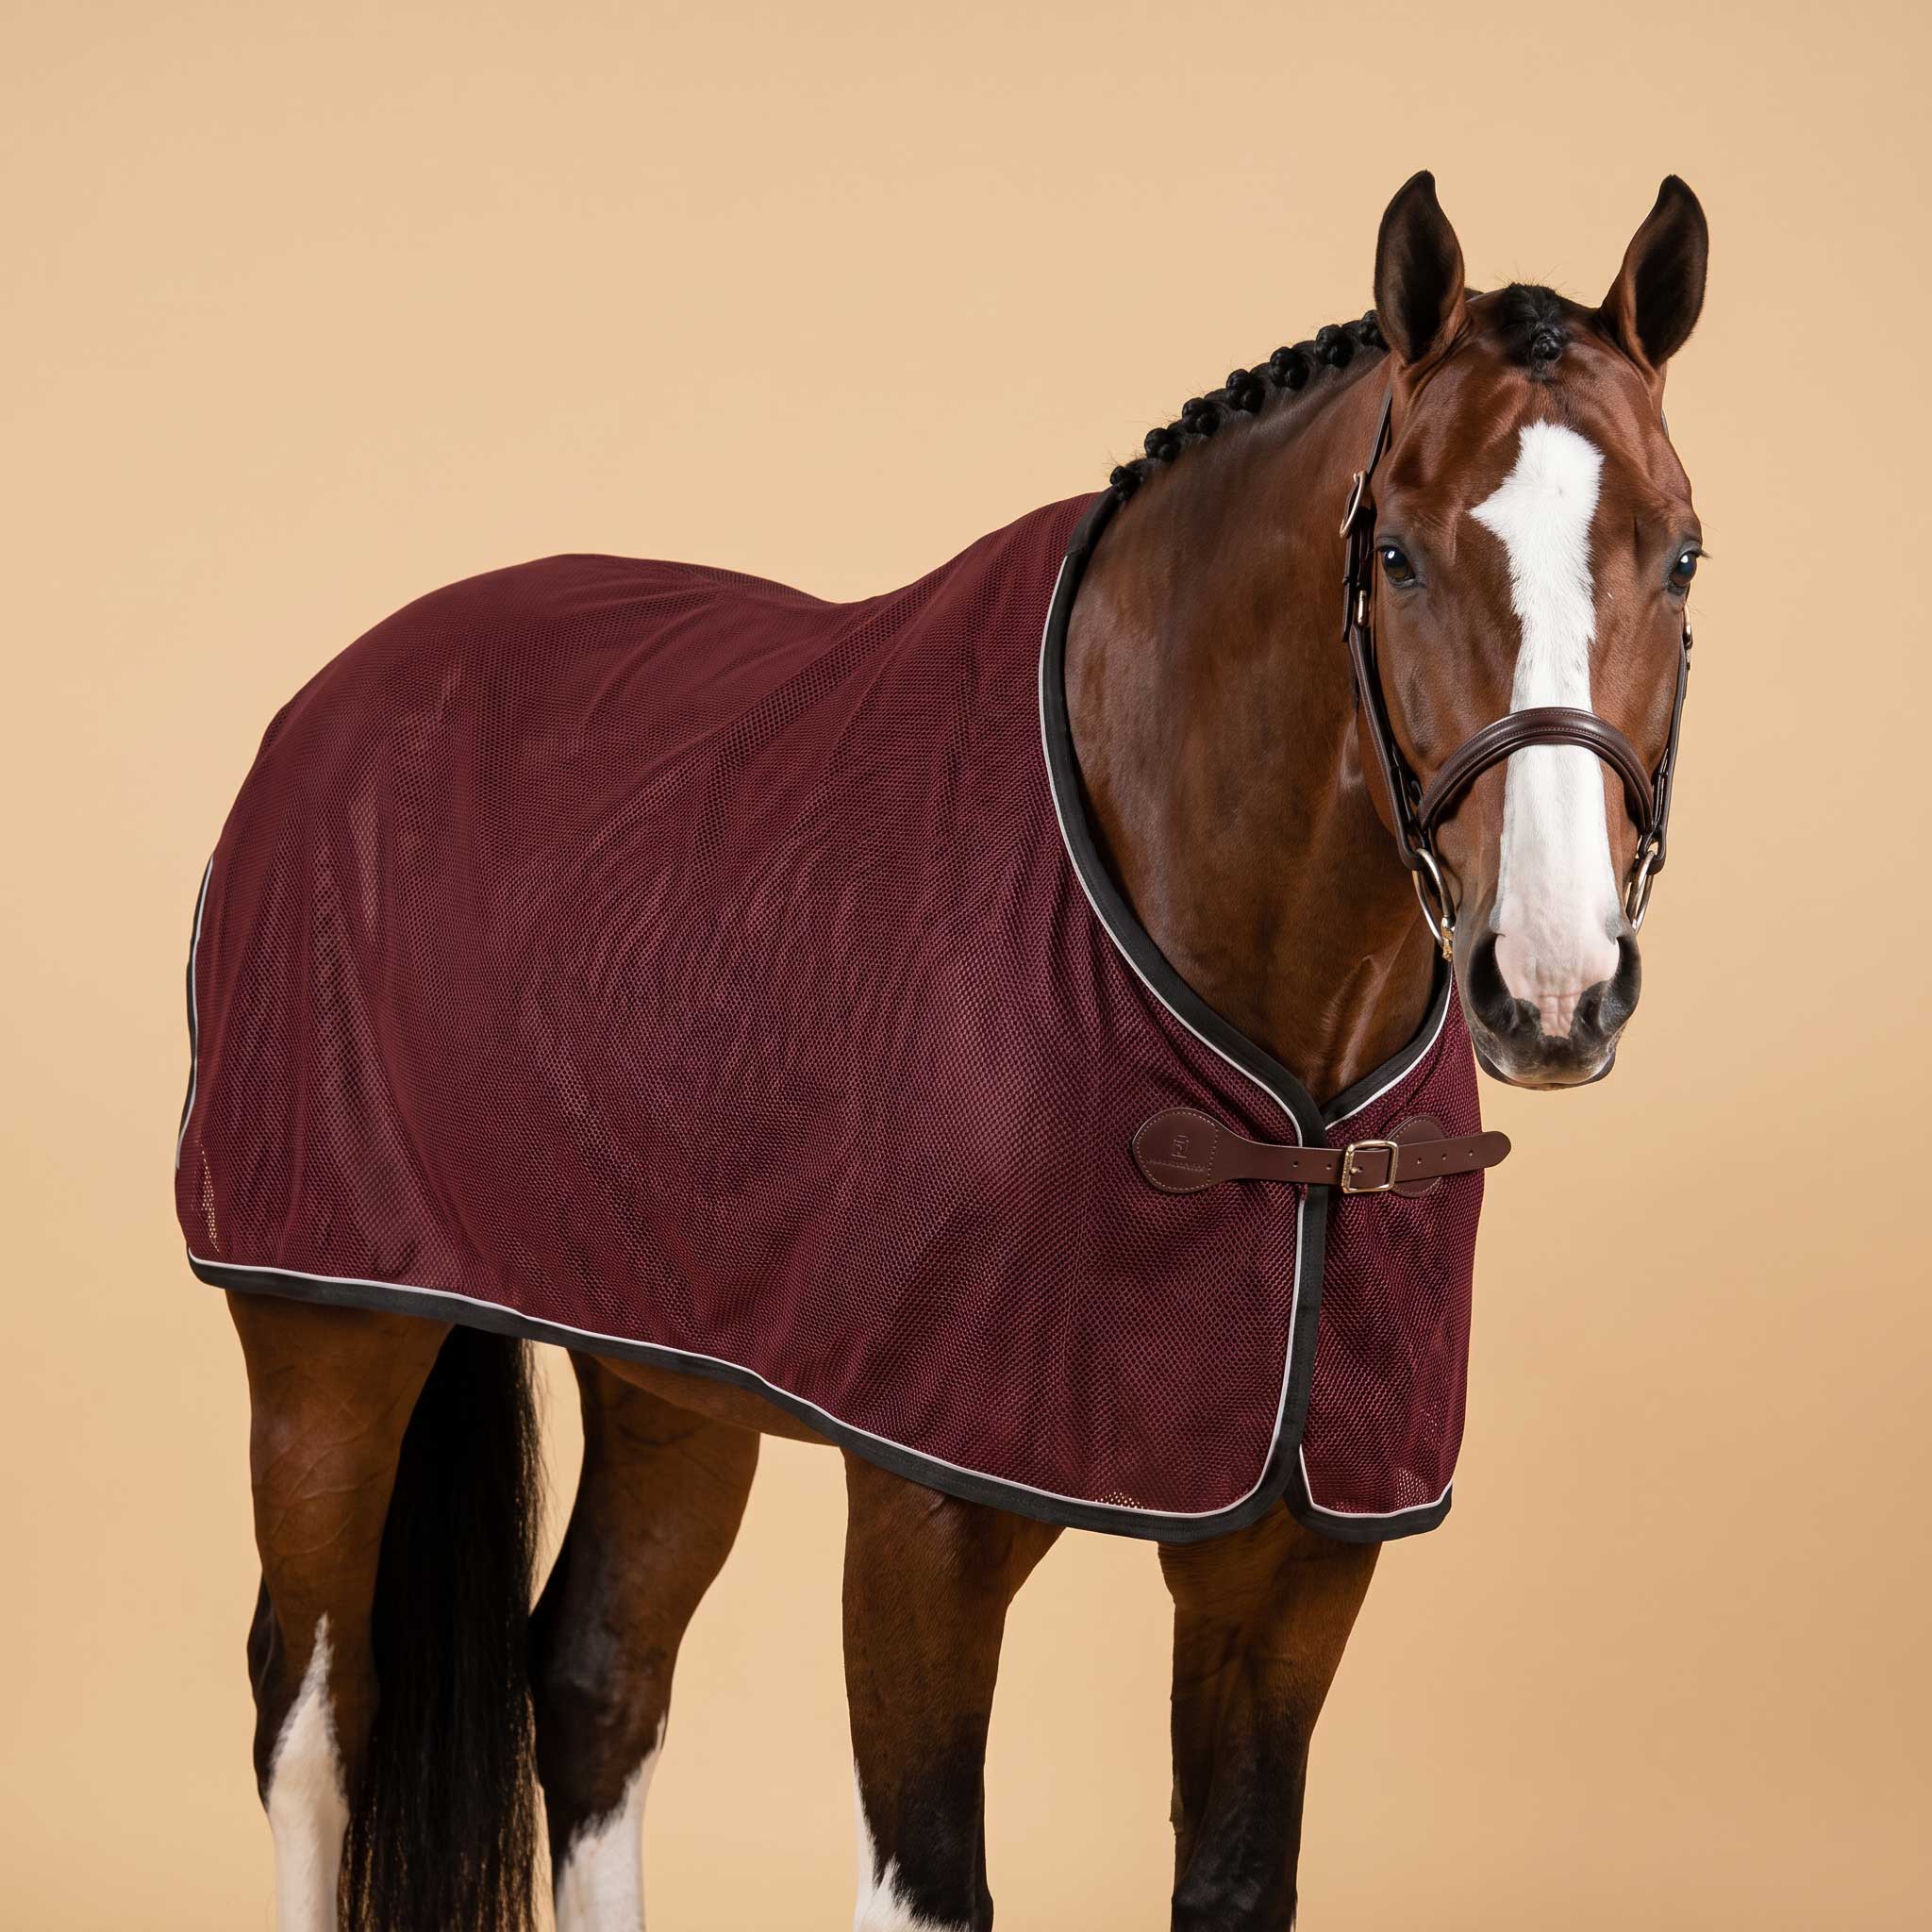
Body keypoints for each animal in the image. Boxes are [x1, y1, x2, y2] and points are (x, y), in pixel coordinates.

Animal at [182, 170, 1707, 1930]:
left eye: (1679, 553)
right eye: (1392, 550)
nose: (1551, 982)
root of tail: (338, 692)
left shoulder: (1294, 1566)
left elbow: (1232, 1880)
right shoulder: (922, 1527)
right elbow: (933, 1885)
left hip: (664, 1364)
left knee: (595, 1675)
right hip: (326, 1335)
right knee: (315, 1721)